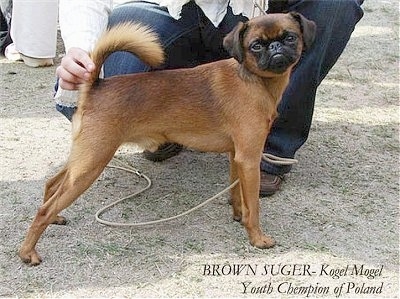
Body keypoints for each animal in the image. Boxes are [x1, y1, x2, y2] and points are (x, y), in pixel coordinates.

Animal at [21, 13, 316, 268]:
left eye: (290, 37)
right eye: (256, 46)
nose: (276, 46)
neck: (253, 80)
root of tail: (95, 86)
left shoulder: (237, 156)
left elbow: (238, 193)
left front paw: (237, 215)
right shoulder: (250, 159)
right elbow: (254, 205)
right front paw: (257, 238)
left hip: (84, 159)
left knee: (51, 185)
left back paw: (56, 217)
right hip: (92, 163)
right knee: (44, 209)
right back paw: (28, 252)